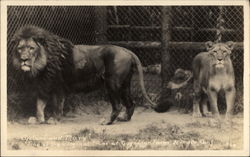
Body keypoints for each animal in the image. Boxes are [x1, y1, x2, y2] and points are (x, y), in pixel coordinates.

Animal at [12, 25, 156, 124]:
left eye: (31, 48)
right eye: (20, 49)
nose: (24, 59)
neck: (41, 64)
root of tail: (127, 50)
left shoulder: (58, 86)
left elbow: (57, 105)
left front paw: (53, 119)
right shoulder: (45, 86)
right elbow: (39, 106)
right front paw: (39, 120)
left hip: (112, 83)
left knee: (118, 105)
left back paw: (107, 122)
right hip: (125, 84)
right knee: (131, 103)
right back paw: (125, 118)